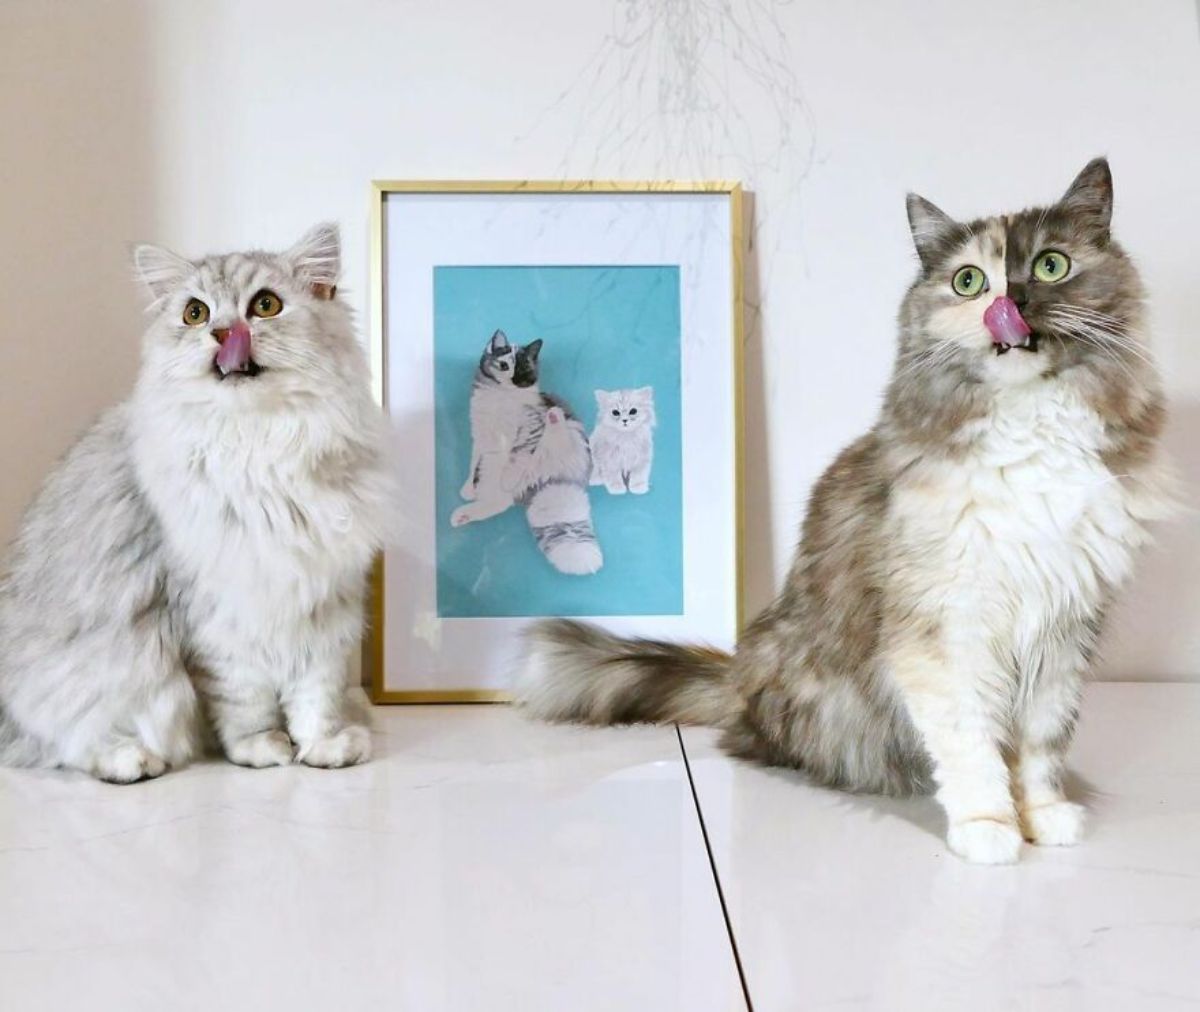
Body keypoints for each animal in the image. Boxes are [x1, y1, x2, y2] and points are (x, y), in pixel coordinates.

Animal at [0, 225, 386, 787]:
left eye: (265, 305)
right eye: (195, 314)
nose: (224, 334)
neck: (259, 447)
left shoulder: (322, 600)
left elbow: (315, 693)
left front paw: (323, 747)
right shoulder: (214, 611)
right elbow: (246, 699)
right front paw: (261, 749)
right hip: (79, 677)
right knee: (65, 741)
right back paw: (132, 760)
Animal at [451, 328, 600, 573]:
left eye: (524, 369)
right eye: (504, 366)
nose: (515, 379)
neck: (501, 398)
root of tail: (550, 483)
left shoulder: (529, 430)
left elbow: (516, 457)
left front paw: (508, 477)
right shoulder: (481, 439)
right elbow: (472, 465)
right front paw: (467, 489)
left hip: (565, 439)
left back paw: (554, 417)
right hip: (493, 469)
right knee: (498, 503)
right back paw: (462, 515)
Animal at [516, 162, 1171, 869]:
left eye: (1052, 266)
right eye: (969, 281)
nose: (1011, 302)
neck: (1031, 435)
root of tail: (740, 677)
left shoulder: (1062, 628)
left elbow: (1043, 746)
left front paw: (1045, 816)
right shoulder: (945, 628)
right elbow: (973, 744)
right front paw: (989, 826)